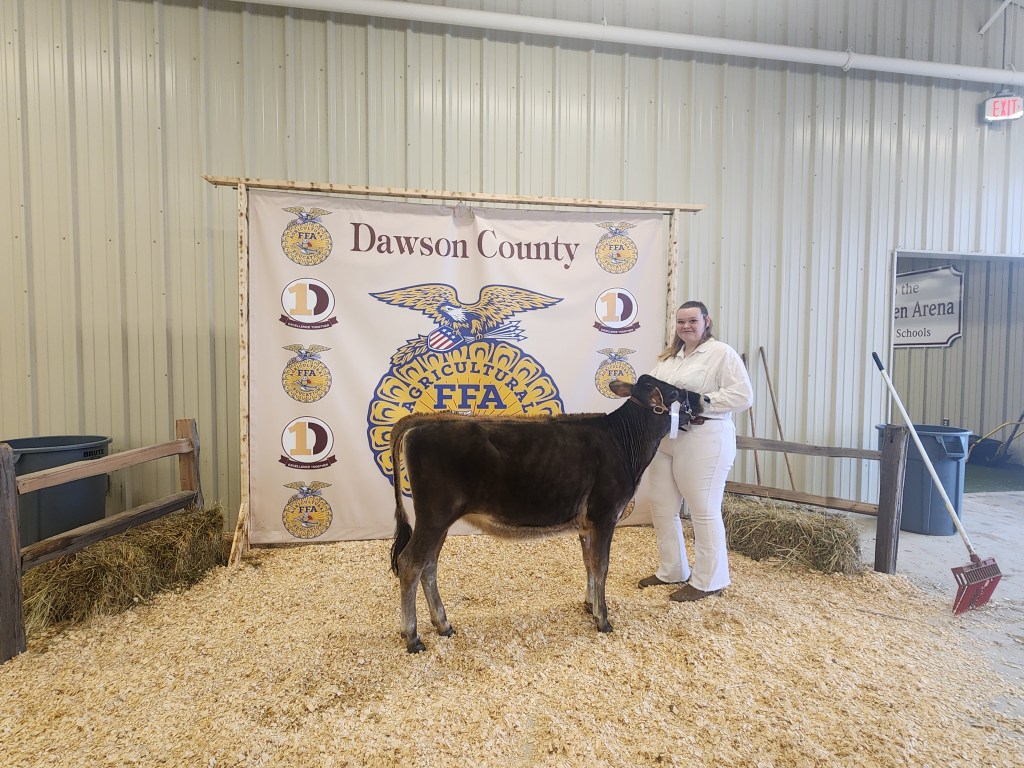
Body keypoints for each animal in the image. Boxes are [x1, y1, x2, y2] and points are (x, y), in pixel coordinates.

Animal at [388, 374, 703, 653]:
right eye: (674, 393)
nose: (705, 399)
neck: (623, 443)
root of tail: (427, 420)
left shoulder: (587, 524)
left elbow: (589, 564)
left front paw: (590, 605)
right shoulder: (605, 514)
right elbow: (601, 565)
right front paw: (603, 619)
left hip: (439, 521)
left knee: (429, 565)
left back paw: (443, 624)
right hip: (434, 516)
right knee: (410, 563)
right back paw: (413, 637)